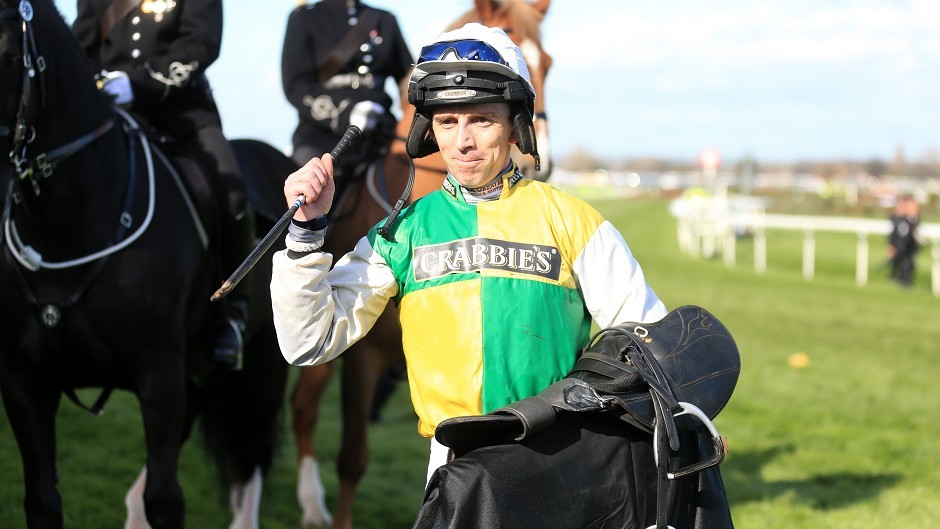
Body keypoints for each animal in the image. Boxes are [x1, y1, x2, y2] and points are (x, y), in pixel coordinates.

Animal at [0, 2, 298, 524]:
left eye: (7, 50)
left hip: (261, 366)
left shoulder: (159, 378)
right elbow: (42, 499)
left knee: (251, 462)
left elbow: (164, 499)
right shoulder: (24, 383)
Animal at [292, 2, 552, 524]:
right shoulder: (362, 359)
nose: (542, 162)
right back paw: (309, 504)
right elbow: (352, 458)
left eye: (549, 63)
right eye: (510, 37)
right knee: (303, 408)